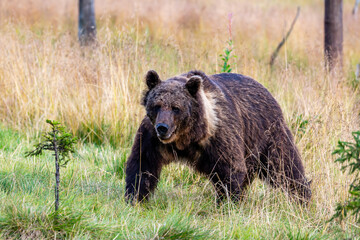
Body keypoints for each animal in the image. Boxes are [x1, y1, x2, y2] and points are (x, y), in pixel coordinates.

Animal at [125, 70, 310, 204]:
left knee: (285, 167)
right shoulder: (151, 138)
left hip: (267, 135)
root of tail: (268, 92)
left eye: (176, 107)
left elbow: (229, 169)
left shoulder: (219, 136)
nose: (163, 128)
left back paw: (303, 197)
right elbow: (142, 165)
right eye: (157, 105)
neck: (186, 139)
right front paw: (135, 198)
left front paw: (227, 202)